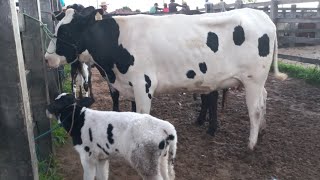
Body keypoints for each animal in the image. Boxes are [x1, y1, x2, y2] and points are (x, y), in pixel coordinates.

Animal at [44, 7, 288, 149]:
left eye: (66, 32)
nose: (47, 58)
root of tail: (260, 14)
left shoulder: (143, 83)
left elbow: (142, 114)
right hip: (257, 82)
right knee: (264, 100)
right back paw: (262, 131)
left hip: (253, 79)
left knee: (254, 109)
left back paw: (251, 144)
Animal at [47, 93, 178, 180]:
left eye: (58, 103)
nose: (48, 109)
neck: (79, 119)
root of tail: (166, 126)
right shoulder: (101, 158)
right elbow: (102, 176)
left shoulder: (87, 157)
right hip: (161, 158)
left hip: (145, 162)